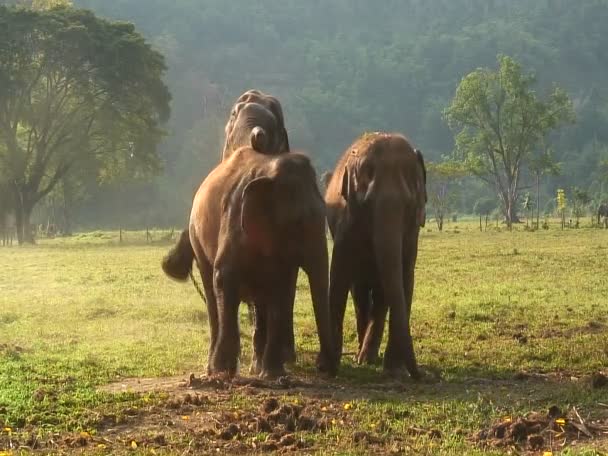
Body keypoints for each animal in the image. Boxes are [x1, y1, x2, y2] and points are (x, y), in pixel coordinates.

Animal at [162, 142, 338, 378]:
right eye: (297, 222)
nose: (324, 367)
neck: (270, 170)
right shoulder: (234, 220)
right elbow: (224, 279)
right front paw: (223, 371)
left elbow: (281, 290)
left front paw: (273, 374)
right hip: (196, 237)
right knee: (211, 290)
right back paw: (213, 366)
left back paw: (257, 367)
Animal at [324, 132, 428, 378]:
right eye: (367, 203)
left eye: (409, 204)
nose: (421, 376)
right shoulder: (347, 222)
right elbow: (339, 275)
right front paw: (329, 366)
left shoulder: (411, 234)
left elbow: (405, 277)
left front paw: (394, 369)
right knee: (360, 293)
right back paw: (362, 356)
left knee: (381, 293)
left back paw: (368, 357)